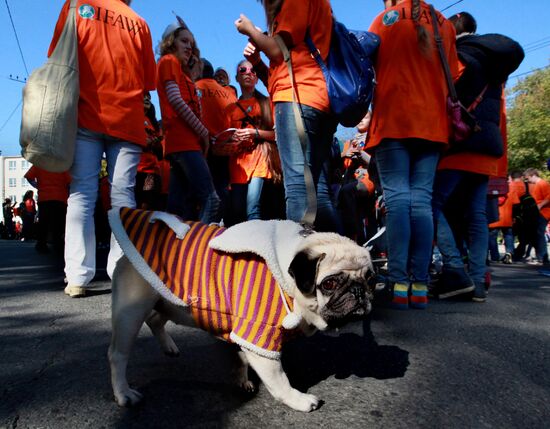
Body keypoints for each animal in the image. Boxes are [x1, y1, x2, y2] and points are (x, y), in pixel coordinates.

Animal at [108, 207, 376, 412]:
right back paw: (124, 394)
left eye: (370, 278)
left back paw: (169, 346)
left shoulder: (244, 332)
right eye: (329, 284)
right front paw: (298, 400)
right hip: (131, 311)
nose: (358, 291)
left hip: (165, 298)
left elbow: (241, 356)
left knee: (155, 319)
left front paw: (241, 379)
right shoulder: (259, 333)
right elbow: (279, 381)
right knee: (117, 355)